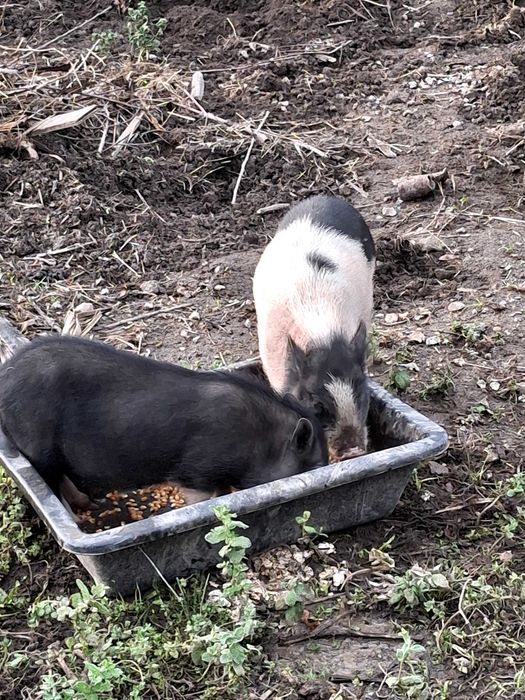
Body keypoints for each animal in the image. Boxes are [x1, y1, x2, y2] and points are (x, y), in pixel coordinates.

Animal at [0, 335, 328, 511]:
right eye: (313, 465)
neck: (260, 441)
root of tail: (5, 380)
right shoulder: (194, 472)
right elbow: (203, 497)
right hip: (38, 445)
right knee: (55, 481)